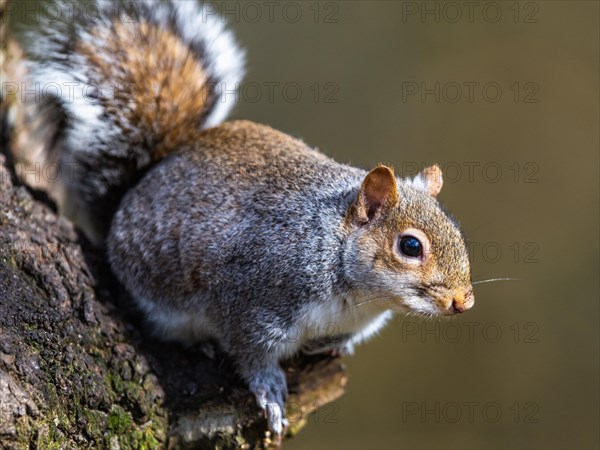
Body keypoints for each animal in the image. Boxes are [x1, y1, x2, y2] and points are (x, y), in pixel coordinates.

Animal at [11, 0, 476, 436]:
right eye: (410, 246)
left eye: (458, 232)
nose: (463, 302)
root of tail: (135, 190)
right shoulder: (254, 298)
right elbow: (250, 353)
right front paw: (269, 390)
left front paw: (330, 347)